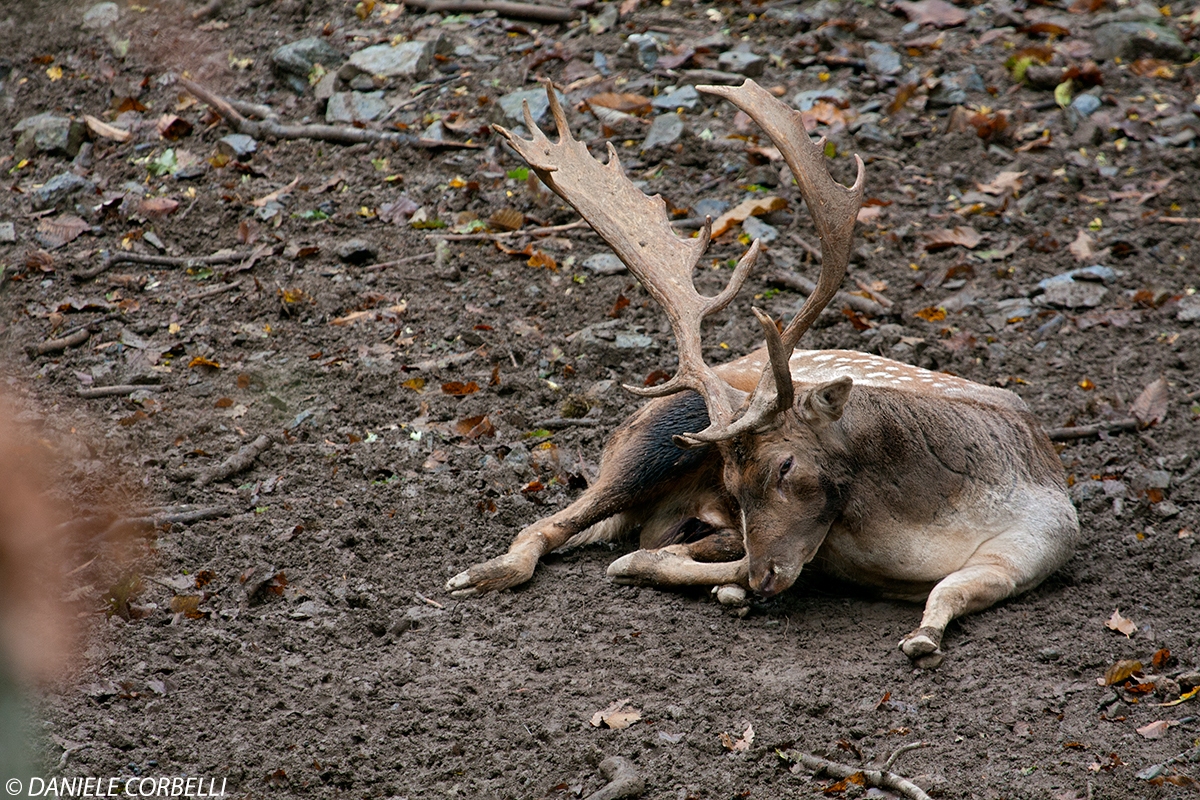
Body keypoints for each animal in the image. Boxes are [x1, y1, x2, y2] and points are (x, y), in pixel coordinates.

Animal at [446, 77, 1084, 666]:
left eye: (785, 466)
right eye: (731, 482)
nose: (764, 577)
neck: (918, 539)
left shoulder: (1037, 543)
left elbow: (950, 590)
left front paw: (920, 637)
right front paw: (664, 570)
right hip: (655, 434)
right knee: (548, 525)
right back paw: (479, 574)